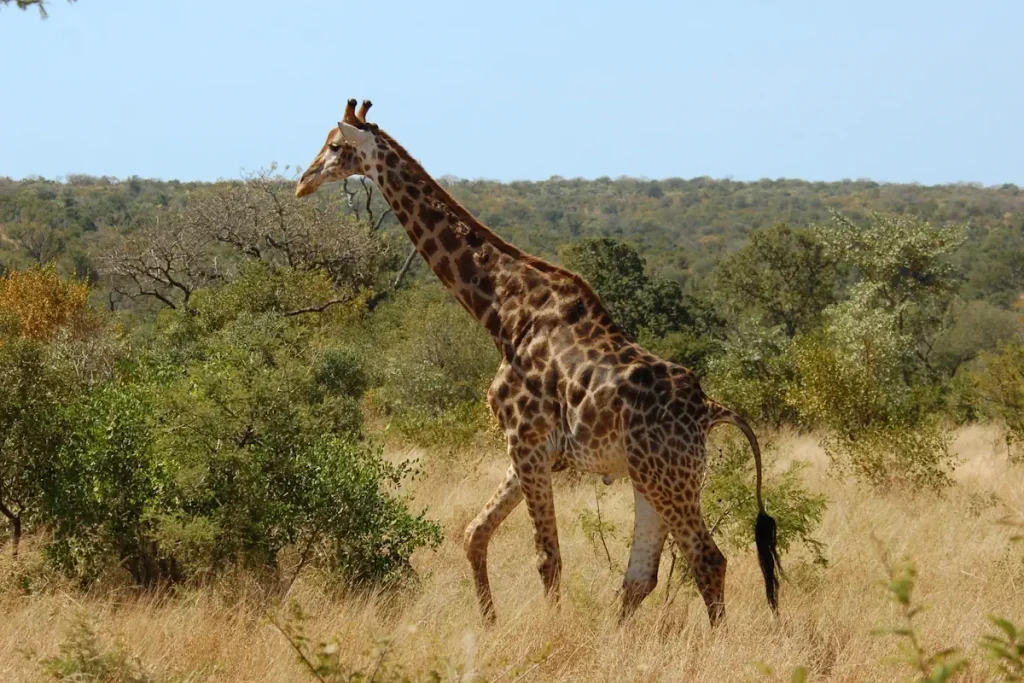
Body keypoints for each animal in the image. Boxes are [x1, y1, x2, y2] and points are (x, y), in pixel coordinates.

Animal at [295, 99, 780, 626]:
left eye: (335, 146)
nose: (302, 183)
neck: (503, 313)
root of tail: (710, 410)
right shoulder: (532, 448)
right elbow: (474, 533)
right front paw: (489, 623)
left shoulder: (525, 438)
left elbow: (547, 557)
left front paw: (549, 630)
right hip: (649, 477)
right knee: (641, 577)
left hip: (668, 476)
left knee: (706, 559)